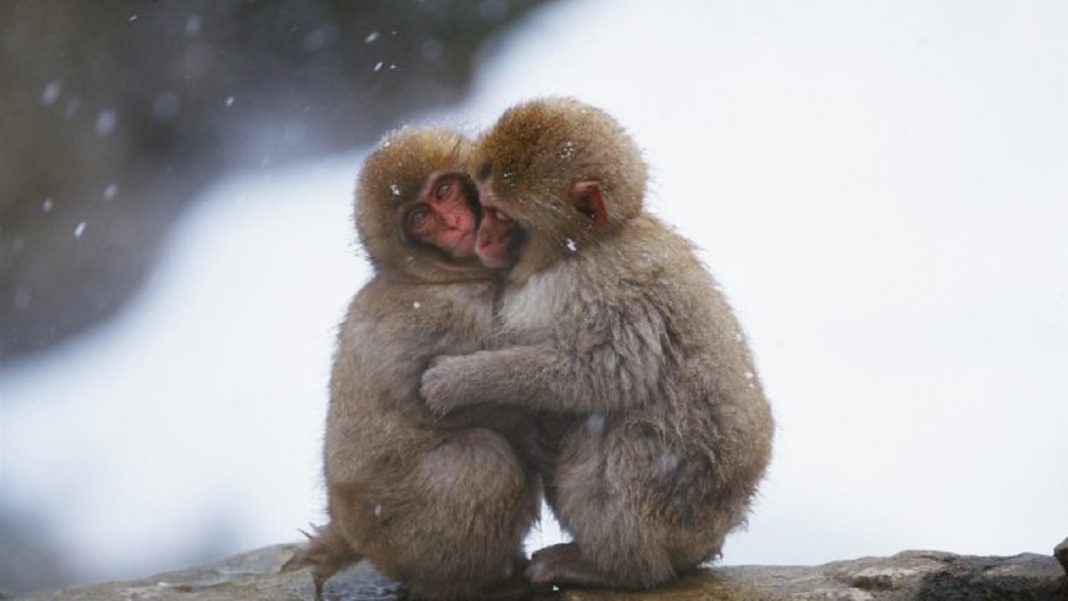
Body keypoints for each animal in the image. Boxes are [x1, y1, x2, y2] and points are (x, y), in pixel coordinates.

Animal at [281, 129, 542, 597]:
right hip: (399, 534)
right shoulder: (441, 315)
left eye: (443, 191)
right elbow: (436, 396)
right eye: (420, 217)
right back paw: (479, 585)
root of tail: (347, 529)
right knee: (481, 461)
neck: (438, 276)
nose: (453, 223)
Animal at [418, 98, 777, 593]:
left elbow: (607, 374)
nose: (482, 238)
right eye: (482, 206)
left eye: (501, 216)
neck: (581, 248)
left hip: (671, 504)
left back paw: (614, 567)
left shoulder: (607, 288)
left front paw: (460, 380)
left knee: (619, 441)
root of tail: (710, 535)